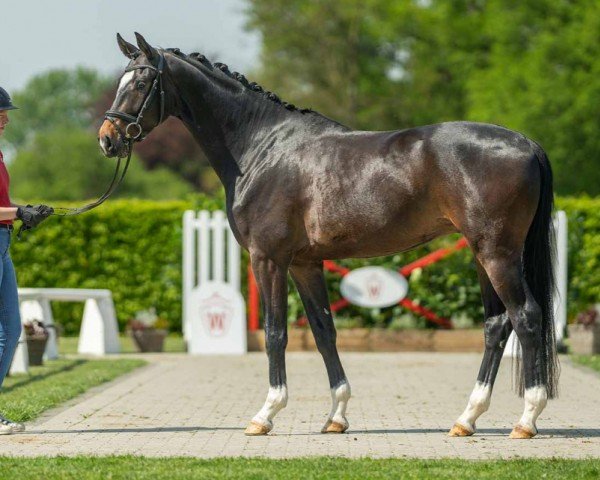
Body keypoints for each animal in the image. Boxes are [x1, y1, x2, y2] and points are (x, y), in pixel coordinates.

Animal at [97, 32, 556, 438]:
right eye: (121, 81)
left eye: (141, 83)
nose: (108, 139)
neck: (262, 148)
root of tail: (526, 143)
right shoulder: (305, 263)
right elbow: (323, 331)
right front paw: (336, 415)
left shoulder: (268, 259)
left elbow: (275, 333)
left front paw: (265, 414)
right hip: (482, 254)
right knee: (496, 324)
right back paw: (467, 419)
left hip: (496, 253)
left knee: (526, 317)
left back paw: (526, 420)